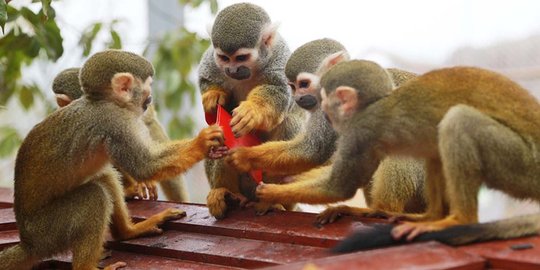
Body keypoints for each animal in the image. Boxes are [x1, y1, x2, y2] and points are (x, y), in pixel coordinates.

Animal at [199, 3, 308, 218]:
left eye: (241, 57)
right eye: (224, 58)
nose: (232, 70)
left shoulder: (279, 62)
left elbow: (278, 93)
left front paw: (252, 111)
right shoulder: (212, 60)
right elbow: (208, 88)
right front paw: (213, 97)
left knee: (289, 124)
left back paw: (271, 200)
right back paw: (225, 192)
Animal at [226, 39, 424, 221]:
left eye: (304, 84)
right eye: (293, 86)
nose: (297, 98)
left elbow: (314, 151)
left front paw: (245, 157)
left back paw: (381, 210)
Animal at [308, 60, 540, 252]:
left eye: (324, 99)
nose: (323, 111)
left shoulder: (363, 128)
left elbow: (339, 184)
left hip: (521, 164)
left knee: (455, 123)